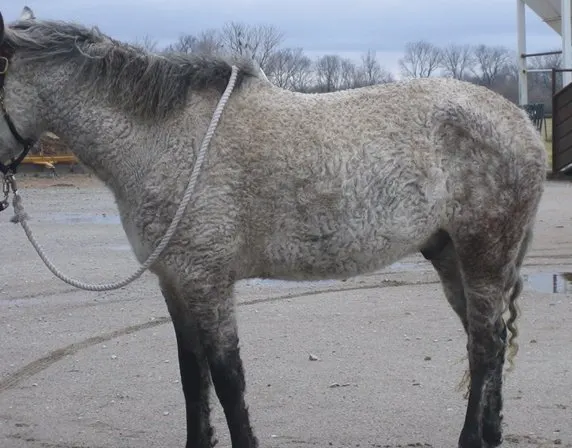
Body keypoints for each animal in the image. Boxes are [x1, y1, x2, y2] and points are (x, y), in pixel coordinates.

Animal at [0, 7, 544, 448]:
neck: (165, 139)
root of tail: (521, 123)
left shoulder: (207, 282)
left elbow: (227, 378)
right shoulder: (175, 284)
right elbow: (192, 376)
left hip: (483, 255)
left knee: (485, 345)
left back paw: (474, 438)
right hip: (451, 255)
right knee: (488, 342)